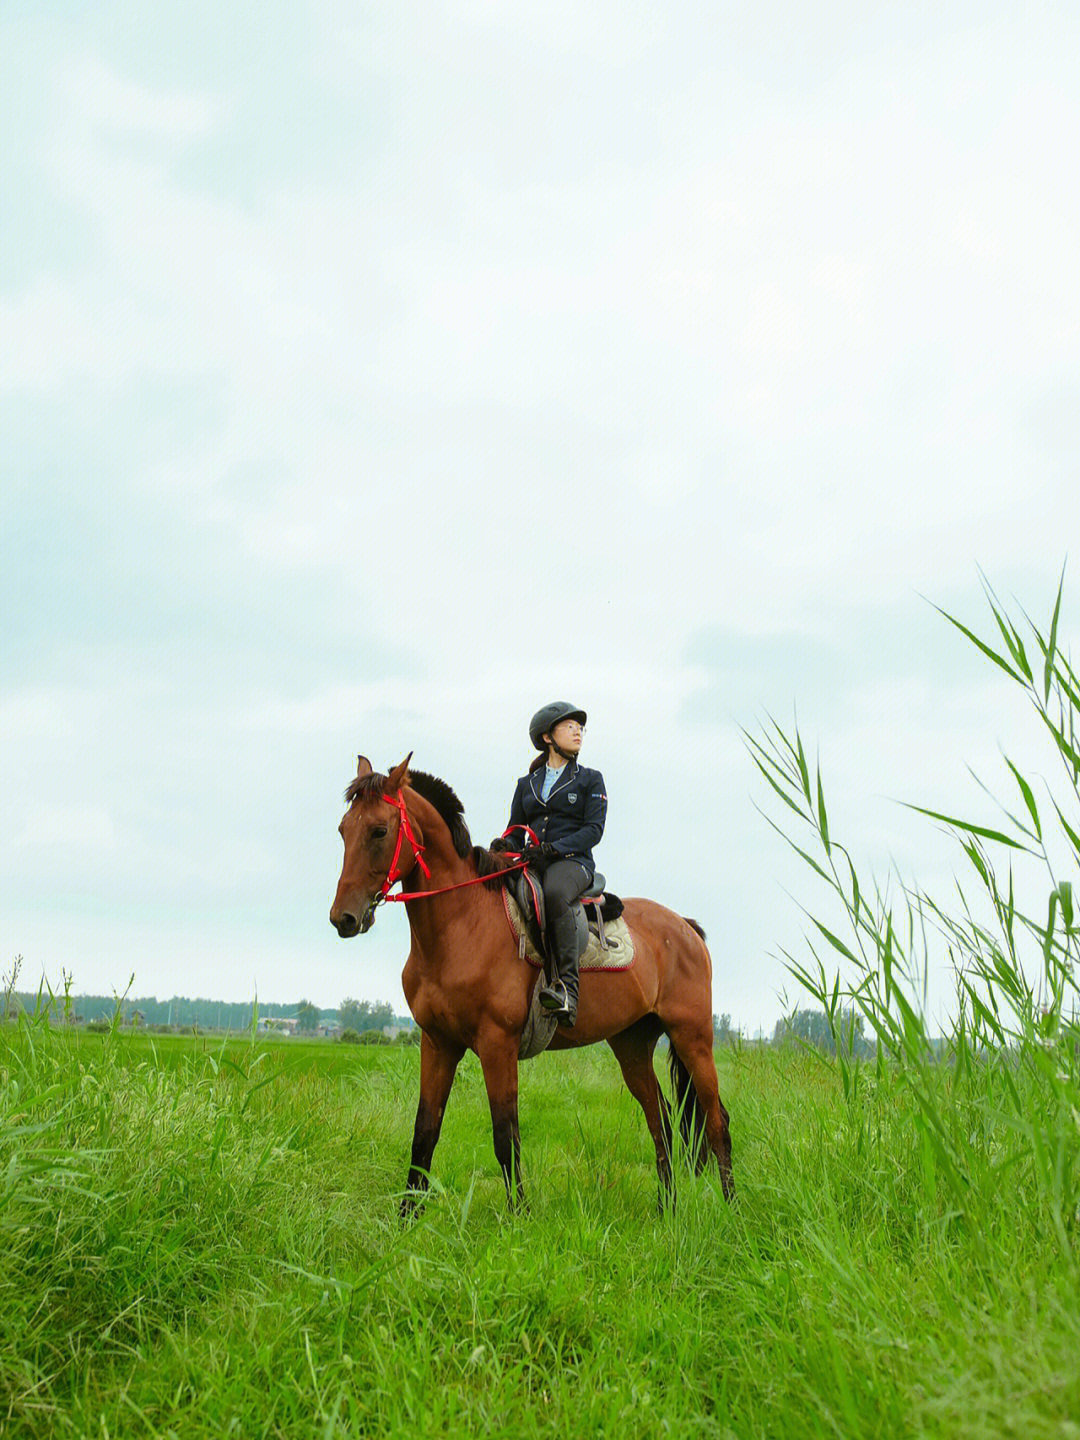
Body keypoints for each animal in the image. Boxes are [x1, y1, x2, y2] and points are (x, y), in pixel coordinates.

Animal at [329, 754, 737, 1215]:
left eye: (379, 831)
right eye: (343, 829)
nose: (343, 918)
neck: (461, 925)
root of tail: (684, 926)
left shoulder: (497, 1044)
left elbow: (506, 1136)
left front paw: (518, 1215)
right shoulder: (437, 1043)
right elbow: (424, 1133)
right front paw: (406, 1219)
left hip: (693, 1037)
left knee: (716, 1121)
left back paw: (730, 1209)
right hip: (632, 1044)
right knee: (662, 1121)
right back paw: (666, 1210)